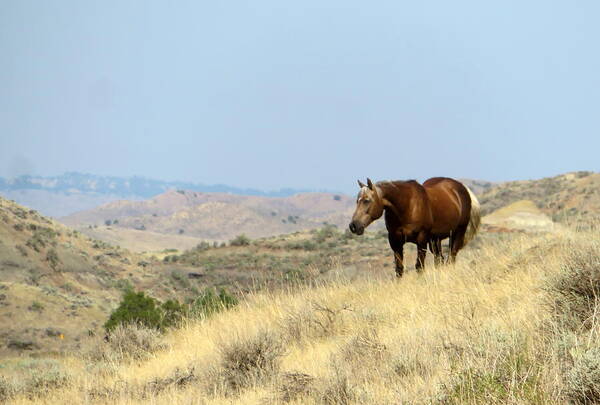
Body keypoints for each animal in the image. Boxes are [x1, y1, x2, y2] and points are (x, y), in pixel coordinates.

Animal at [350, 178, 480, 276]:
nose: (353, 226)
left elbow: (419, 267)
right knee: (440, 260)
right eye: (357, 201)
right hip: (435, 240)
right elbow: (399, 269)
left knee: (451, 257)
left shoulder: (421, 239)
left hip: (458, 232)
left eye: (367, 200)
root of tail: (462, 188)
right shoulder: (395, 241)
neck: (407, 206)